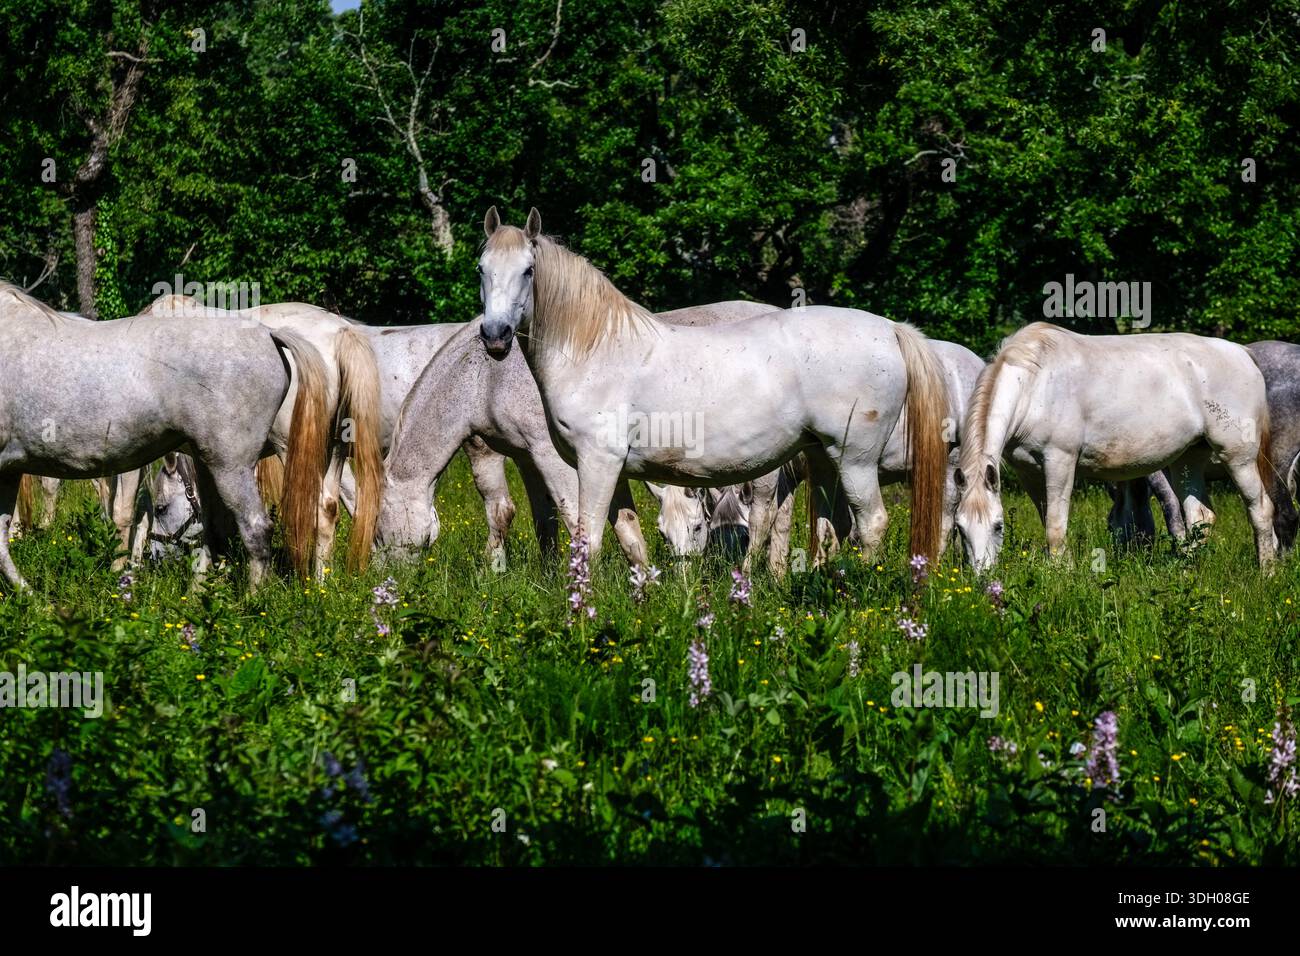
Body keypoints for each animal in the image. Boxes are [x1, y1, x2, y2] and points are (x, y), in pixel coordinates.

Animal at [0, 282, 330, 590]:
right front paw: (29, 595)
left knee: (256, 528)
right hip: (208, 465)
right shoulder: (9, 471)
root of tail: (269, 335)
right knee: (214, 531)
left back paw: (252, 600)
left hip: (232, 468)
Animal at [471, 207, 951, 573]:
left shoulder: (596, 463)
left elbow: (589, 540)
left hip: (855, 460)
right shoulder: (617, 470)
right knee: (834, 529)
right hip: (823, 459)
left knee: (872, 525)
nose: (495, 336)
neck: (595, 350)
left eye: (529, 271)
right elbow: (629, 536)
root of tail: (889, 329)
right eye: (481, 270)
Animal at [953, 322, 1277, 572]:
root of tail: (1243, 353)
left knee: (1261, 510)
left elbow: (1055, 528)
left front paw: (1061, 576)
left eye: (998, 526)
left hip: (1237, 457)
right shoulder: (1029, 472)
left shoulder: (1060, 461)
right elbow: (1048, 521)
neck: (1034, 385)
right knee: (1200, 518)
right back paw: (1188, 573)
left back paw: (1266, 574)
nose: (983, 577)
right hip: (1188, 460)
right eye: (960, 528)